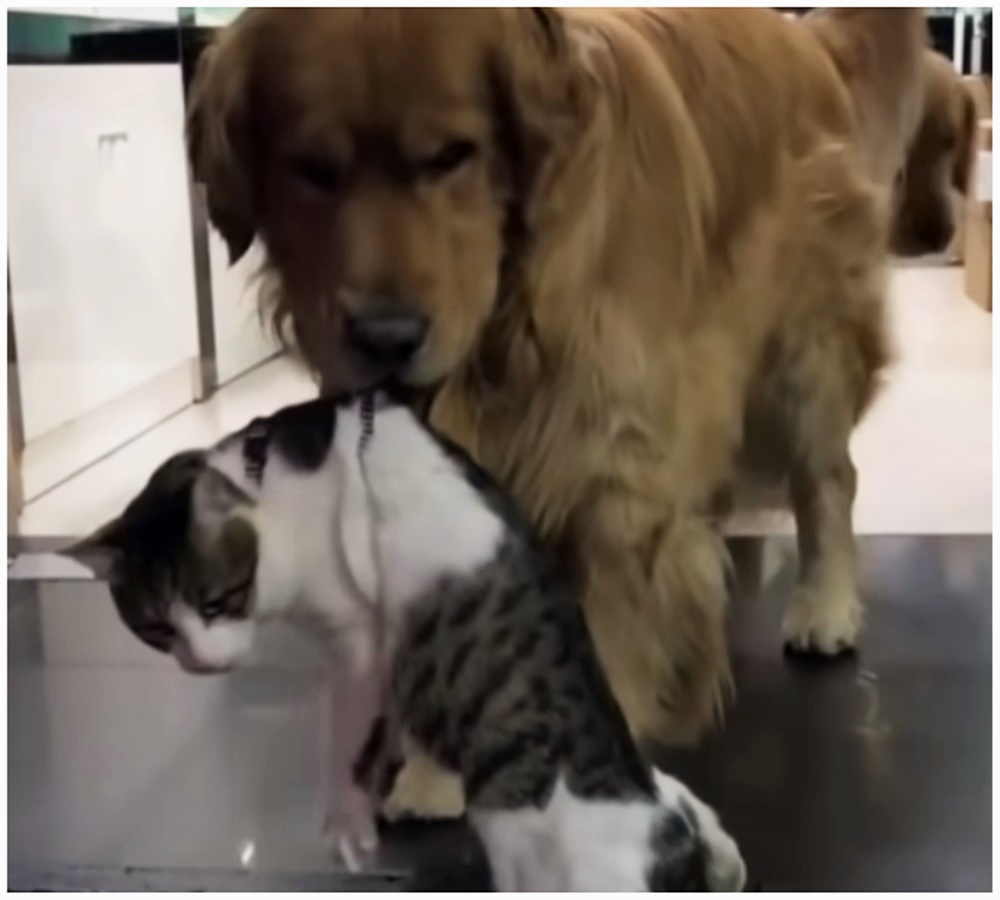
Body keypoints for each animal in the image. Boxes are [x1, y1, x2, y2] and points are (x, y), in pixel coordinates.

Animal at [67, 390, 746, 891]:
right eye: (157, 629)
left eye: (217, 602)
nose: (201, 665)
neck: (275, 482)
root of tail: (660, 825)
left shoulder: (357, 640)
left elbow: (346, 744)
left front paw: (348, 821)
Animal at [187, 10, 927, 816]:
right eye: (312, 169)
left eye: (453, 156)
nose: (387, 337)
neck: (506, 323)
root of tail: (807, 37)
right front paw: (436, 772)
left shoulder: (616, 461)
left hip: (803, 358)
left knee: (827, 481)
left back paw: (825, 606)